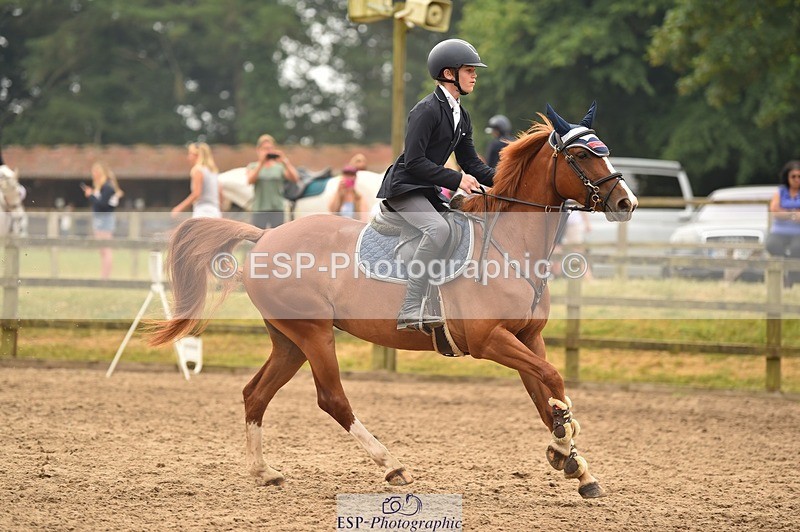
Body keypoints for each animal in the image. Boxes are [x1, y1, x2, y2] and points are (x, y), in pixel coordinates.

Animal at [150, 102, 637, 499]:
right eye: (581, 155)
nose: (626, 202)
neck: (512, 247)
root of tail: (266, 235)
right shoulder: (490, 341)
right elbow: (553, 381)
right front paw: (565, 448)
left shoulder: (527, 338)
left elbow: (547, 393)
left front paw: (574, 462)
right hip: (314, 334)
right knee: (332, 398)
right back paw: (392, 466)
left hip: (289, 340)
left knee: (255, 394)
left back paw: (264, 472)